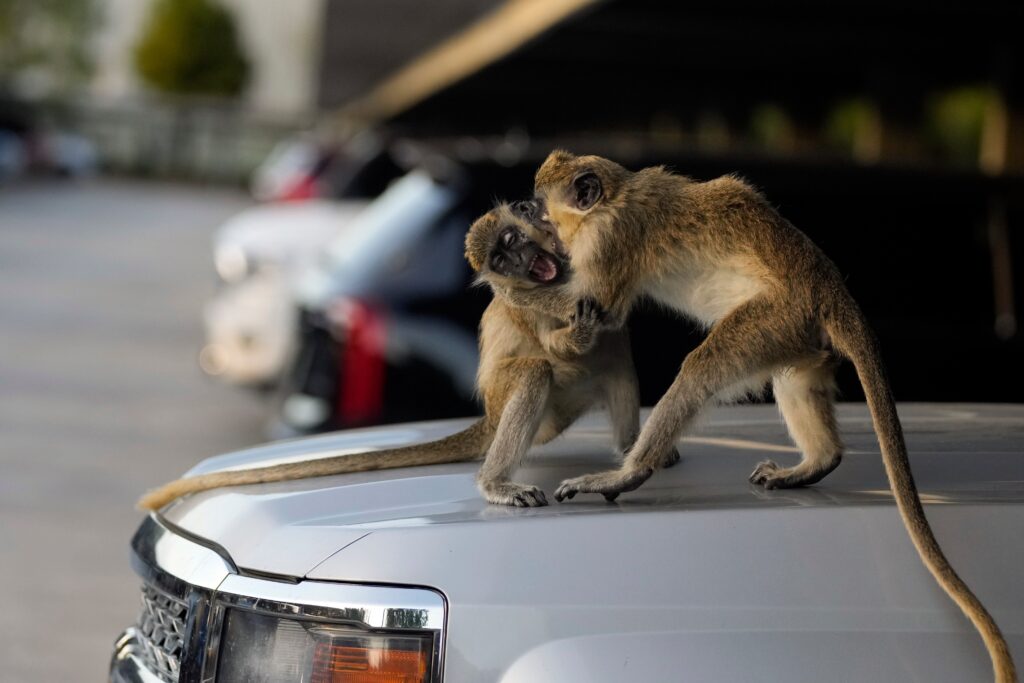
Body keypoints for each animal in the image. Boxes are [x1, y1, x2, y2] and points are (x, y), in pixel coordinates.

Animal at [137, 201, 666, 511]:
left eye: (513, 241)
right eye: (500, 259)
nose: (517, 262)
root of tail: (492, 419)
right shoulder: (524, 300)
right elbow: (555, 341)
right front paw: (577, 327)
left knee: (616, 352)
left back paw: (629, 453)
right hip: (535, 404)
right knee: (538, 369)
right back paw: (497, 482)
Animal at [499, 149, 1015, 682]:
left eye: (539, 207)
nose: (521, 208)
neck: (615, 198)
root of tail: (829, 287)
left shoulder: (611, 241)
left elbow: (597, 308)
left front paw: (505, 286)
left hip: (775, 317)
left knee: (702, 369)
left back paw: (629, 474)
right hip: (796, 332)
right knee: (793, 383)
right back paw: (816, 462)